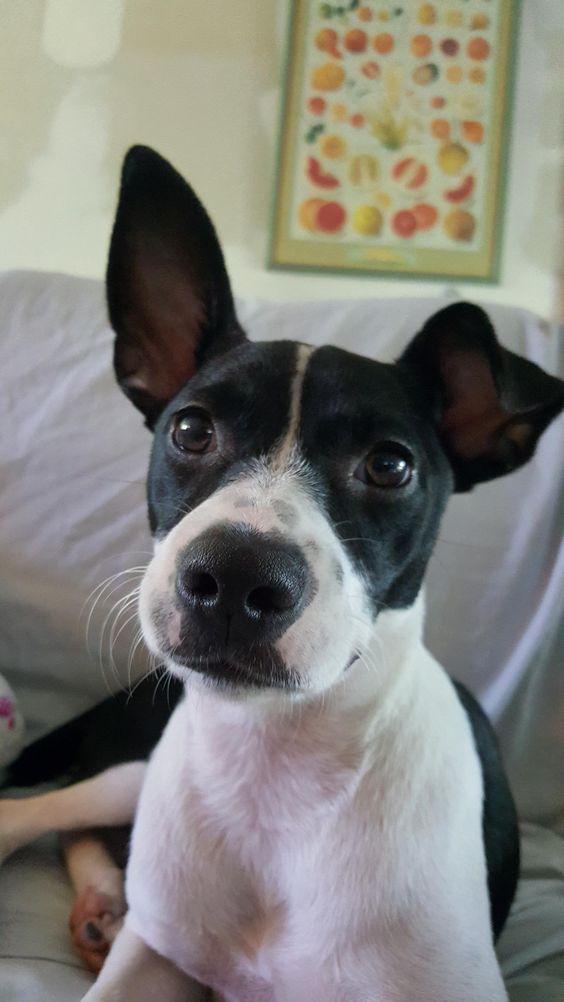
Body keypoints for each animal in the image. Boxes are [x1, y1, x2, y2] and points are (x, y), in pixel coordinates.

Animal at [1, 143, 564, 1002]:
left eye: (391, 465)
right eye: (190, 429)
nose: (234, 579)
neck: (276, 769)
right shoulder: (153, 956)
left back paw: (103, 903)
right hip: (132, 771)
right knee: (43, 813)